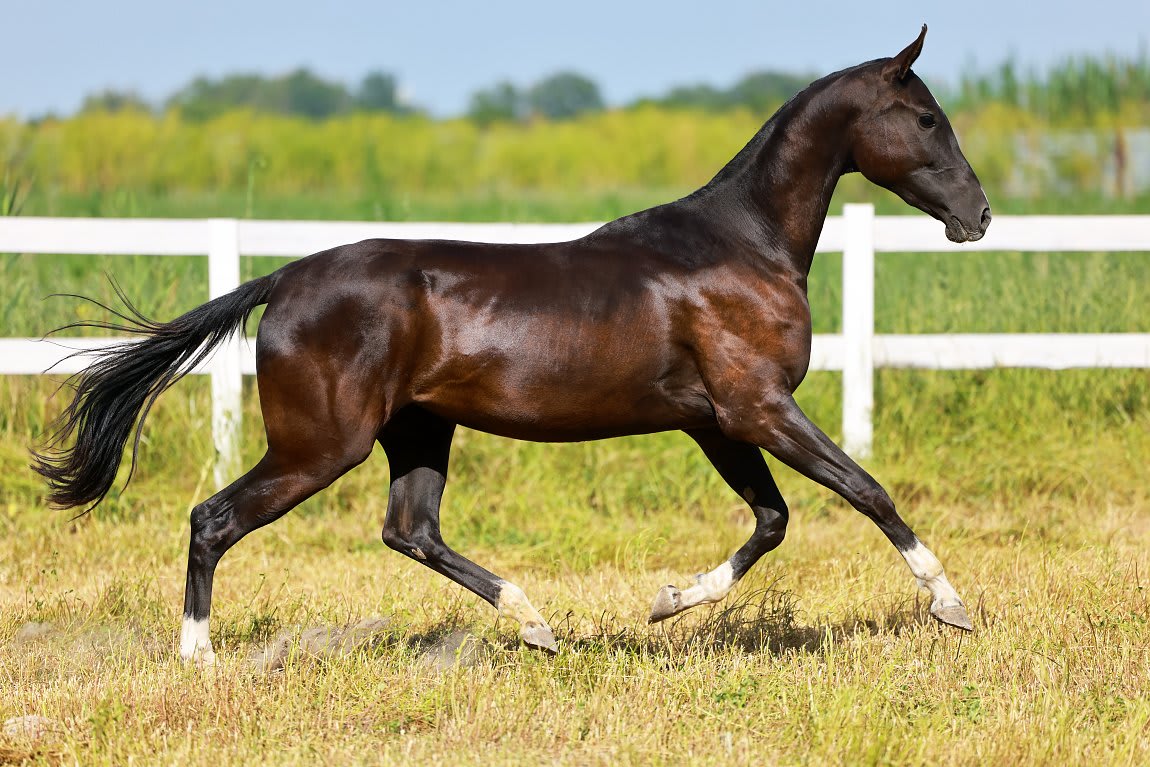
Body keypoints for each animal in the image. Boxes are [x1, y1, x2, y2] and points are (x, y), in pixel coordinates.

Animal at [34, 26, 990, 664]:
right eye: (924, 117)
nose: (978, 215)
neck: (740, 245)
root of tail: (289, 275)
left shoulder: (716, 419)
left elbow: (773, 520)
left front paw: (665, 603)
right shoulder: (757, 406)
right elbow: (866, 490)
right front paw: (951, 604)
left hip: (418, 430)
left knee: (411, 529)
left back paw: (536, 622)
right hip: (322, 444)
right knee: (216, 517)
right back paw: (199, 657)